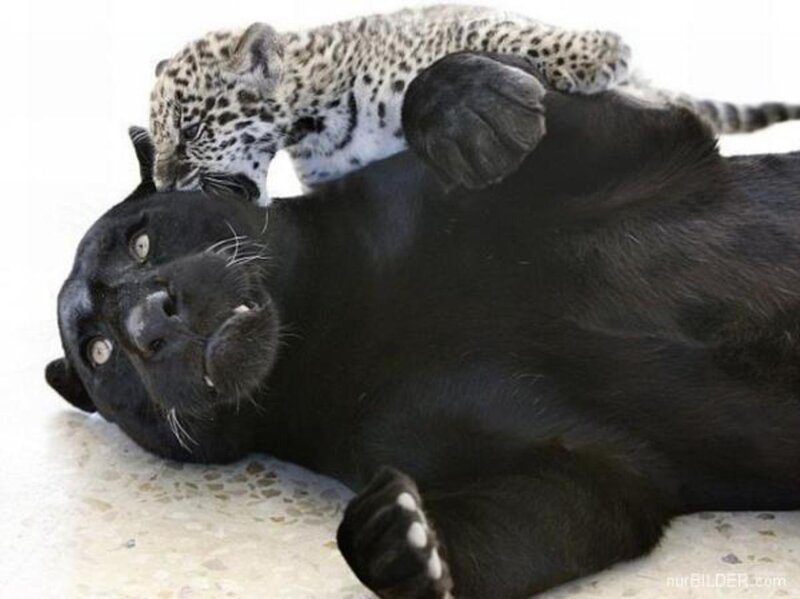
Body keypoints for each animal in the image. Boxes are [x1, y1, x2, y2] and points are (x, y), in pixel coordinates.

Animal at [149, 4, 800, 204]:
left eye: (190, 129)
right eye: (158, 140)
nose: (160, 180)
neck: (314, 119)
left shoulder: (444, 24)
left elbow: (501, 29)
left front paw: (598, 52)